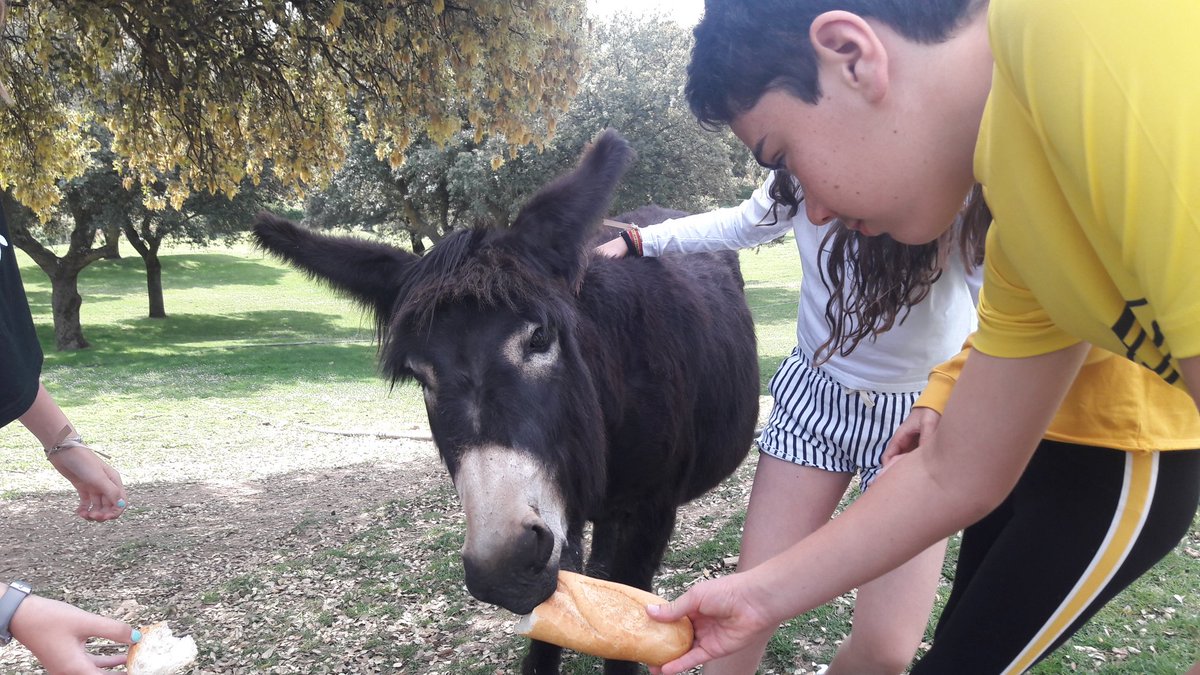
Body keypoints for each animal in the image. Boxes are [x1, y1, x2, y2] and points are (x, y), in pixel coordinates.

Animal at [252, 129, 759, 674]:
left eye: (540, 338)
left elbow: (628, 624)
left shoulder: (649, 511)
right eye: (419, 376)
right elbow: (552, 623)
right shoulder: (563, 514)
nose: (504, 569)